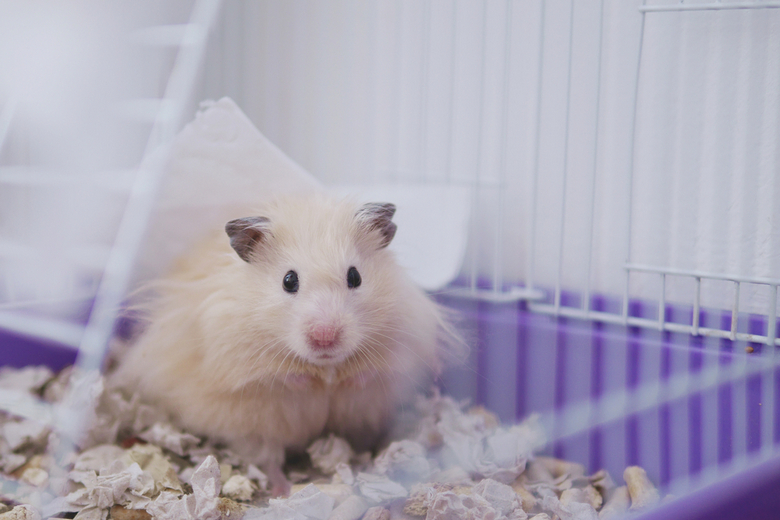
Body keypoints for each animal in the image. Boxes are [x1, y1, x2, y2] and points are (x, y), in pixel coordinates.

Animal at [112, 194, 460, 496]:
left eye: (355, 277)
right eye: (288, 280)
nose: (325, 337)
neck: (324, 362)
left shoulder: (405, 341)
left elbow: (373, 371)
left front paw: (342, 381)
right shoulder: (228, 352)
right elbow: (273, 376)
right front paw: (313, 383)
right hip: (254, 428)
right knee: (269, 460)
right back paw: (283, 489)